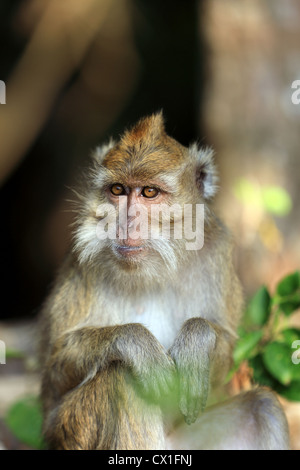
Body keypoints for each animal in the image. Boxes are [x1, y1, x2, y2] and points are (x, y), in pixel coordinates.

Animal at [38, 112, 290, 450]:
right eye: (117, 190)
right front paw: (135, 341)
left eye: (149, 193)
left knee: (263, 407)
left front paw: (196, 342)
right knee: (120, 379)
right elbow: (54, 369)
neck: (152, 268)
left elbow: (227, 354)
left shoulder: (217, 248)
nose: (125, 223)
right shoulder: (81, 262)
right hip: (69, 433)